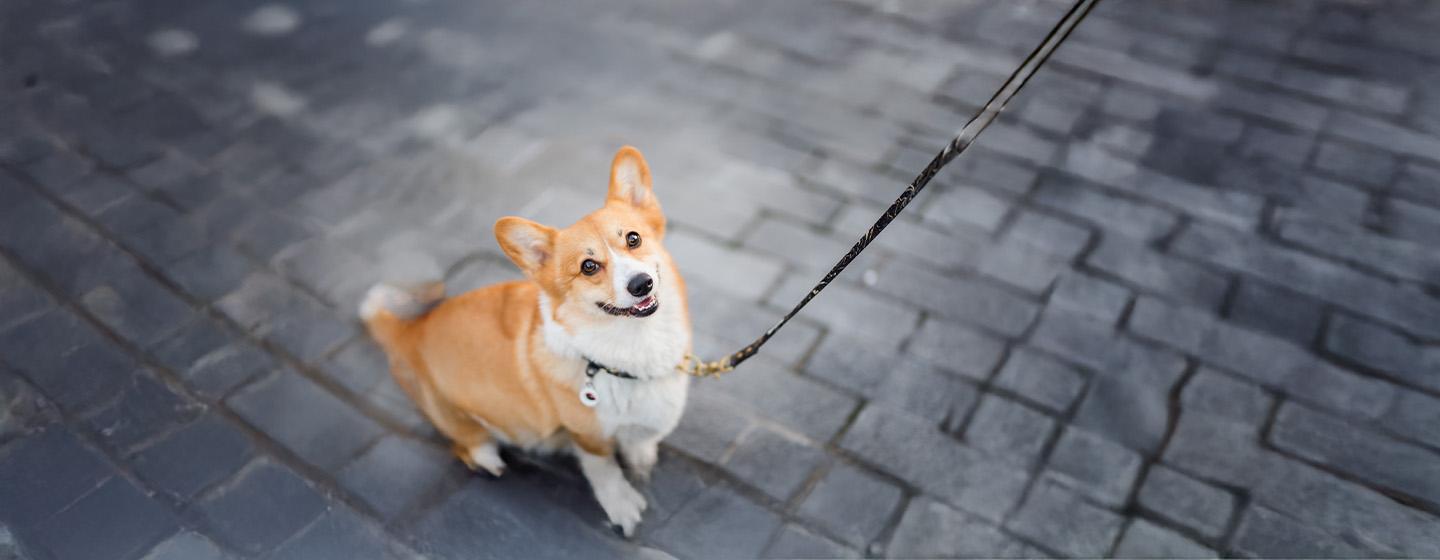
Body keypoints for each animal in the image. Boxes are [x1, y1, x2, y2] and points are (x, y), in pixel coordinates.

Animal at [359, 146, 690, 536]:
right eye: (589, 266)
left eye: (633, 239)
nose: (641, 284)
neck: (633, 350)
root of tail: (410, 329)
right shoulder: (587, 436)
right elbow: (604, 469)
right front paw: (622, 505)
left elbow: (640, 440)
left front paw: (641, 460)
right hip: (453, 413)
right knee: (465, 443)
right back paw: (487, 458)